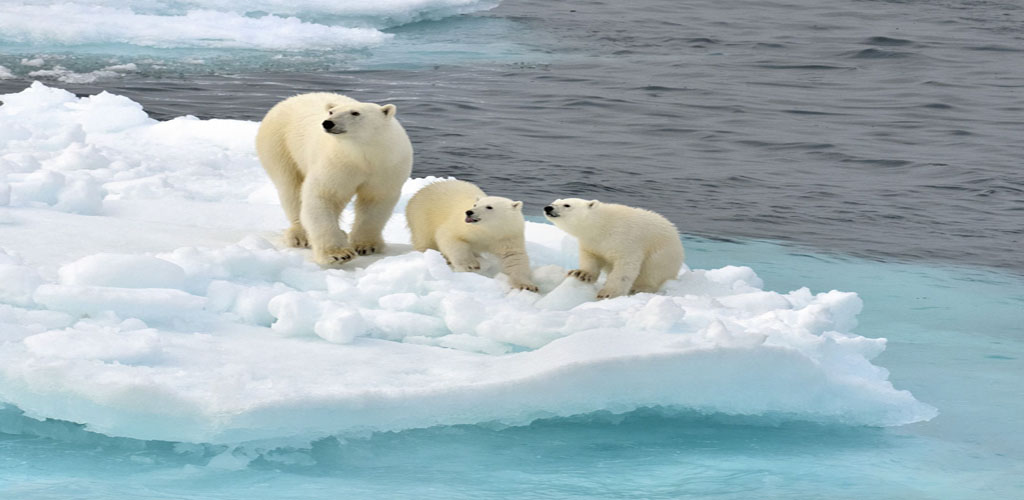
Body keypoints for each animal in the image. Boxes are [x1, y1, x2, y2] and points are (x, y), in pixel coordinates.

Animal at [255, 92, 413, 267]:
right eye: (331, 112)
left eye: (355, 113)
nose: (327, 123)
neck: (362, 154)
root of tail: (290, 99)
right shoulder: (337, 162)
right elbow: (324, 195)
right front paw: (338, 255)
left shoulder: (386, 166)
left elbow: (376, 200)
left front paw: (366, 246)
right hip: (280, 145)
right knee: (290, 187)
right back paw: (300, 236)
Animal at [406, 180, 538, 292]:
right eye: (475, 204)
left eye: (489, 207)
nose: (469, 212)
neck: (489, 230)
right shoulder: (463, 227)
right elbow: (448, 236)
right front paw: (470, 265)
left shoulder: (507, 236)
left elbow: (514, 258)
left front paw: (527, 285)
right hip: (421, 216)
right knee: (424, 239)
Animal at [543, 198, 684, 299]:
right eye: (554, 202)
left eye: (567, 205)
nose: (548, 207)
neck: (603, 225)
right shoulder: (591, 242)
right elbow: (591, 257)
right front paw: (581, 273)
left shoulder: (626, 239)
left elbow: (625, 266)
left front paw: (607, 293)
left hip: (662, 257)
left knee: (652, 273)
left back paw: (640, 288)